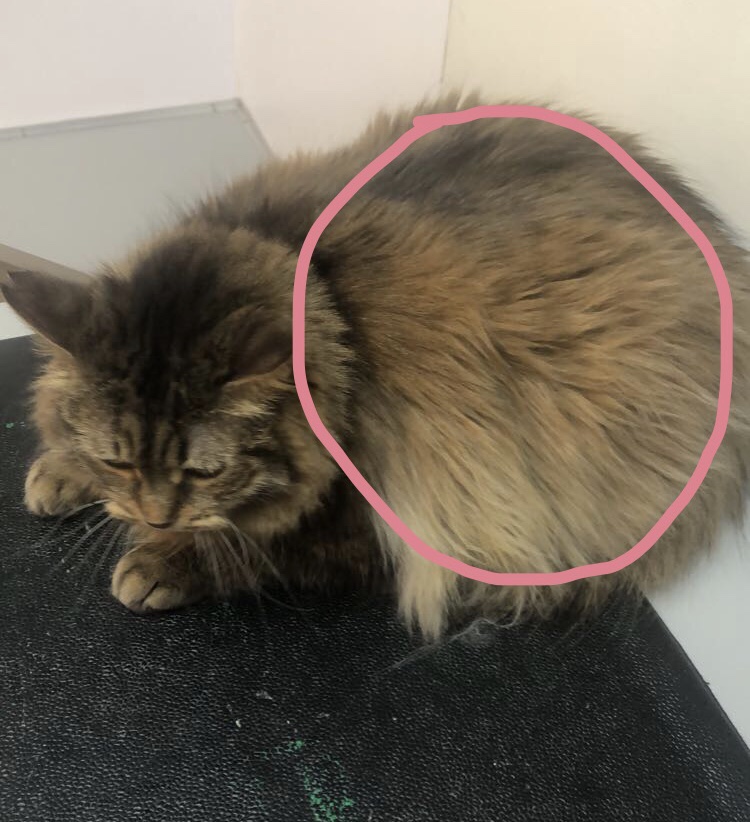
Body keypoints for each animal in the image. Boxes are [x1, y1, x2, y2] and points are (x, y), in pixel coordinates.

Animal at [3, 92, 750, 639]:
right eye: (118, 459)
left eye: (205, 472)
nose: (156, 517)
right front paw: (62, 474)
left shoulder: (381, 526)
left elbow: (251, 548)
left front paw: (160, 562)